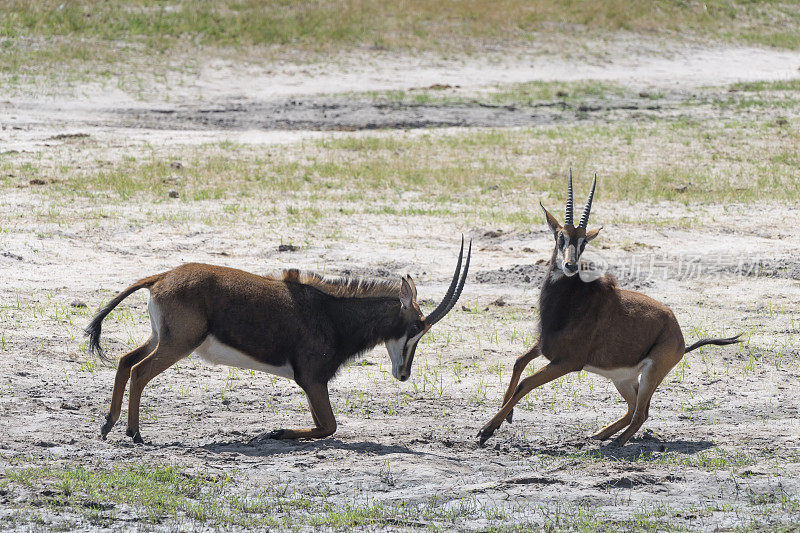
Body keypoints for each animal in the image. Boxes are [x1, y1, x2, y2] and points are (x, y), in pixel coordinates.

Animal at [87, 239, 472, 442]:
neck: (332, 313)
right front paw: (274, 432)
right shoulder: (313, 380)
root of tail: (161, 277)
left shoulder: (311, 384)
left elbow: (325, 426)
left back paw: (108, 425)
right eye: (417, 327)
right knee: (138, 370)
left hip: (160, 337)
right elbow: (329, 427)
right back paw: (134, 433)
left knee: (124, 361)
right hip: (178, 343)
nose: (404, 375)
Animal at [476, 174, 744, 444]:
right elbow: (519, 361)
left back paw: (616, 442)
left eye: (583, 241)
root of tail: (677, 332)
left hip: (650, 374)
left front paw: (487, 430)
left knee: (641, 413)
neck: (571, 302)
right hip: (623, 379)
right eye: (561, 237)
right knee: (633, 408)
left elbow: (526, 383)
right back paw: (599, 434)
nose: (570, 265)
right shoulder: (545, 346)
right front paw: (505, 417)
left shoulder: (568, 362)